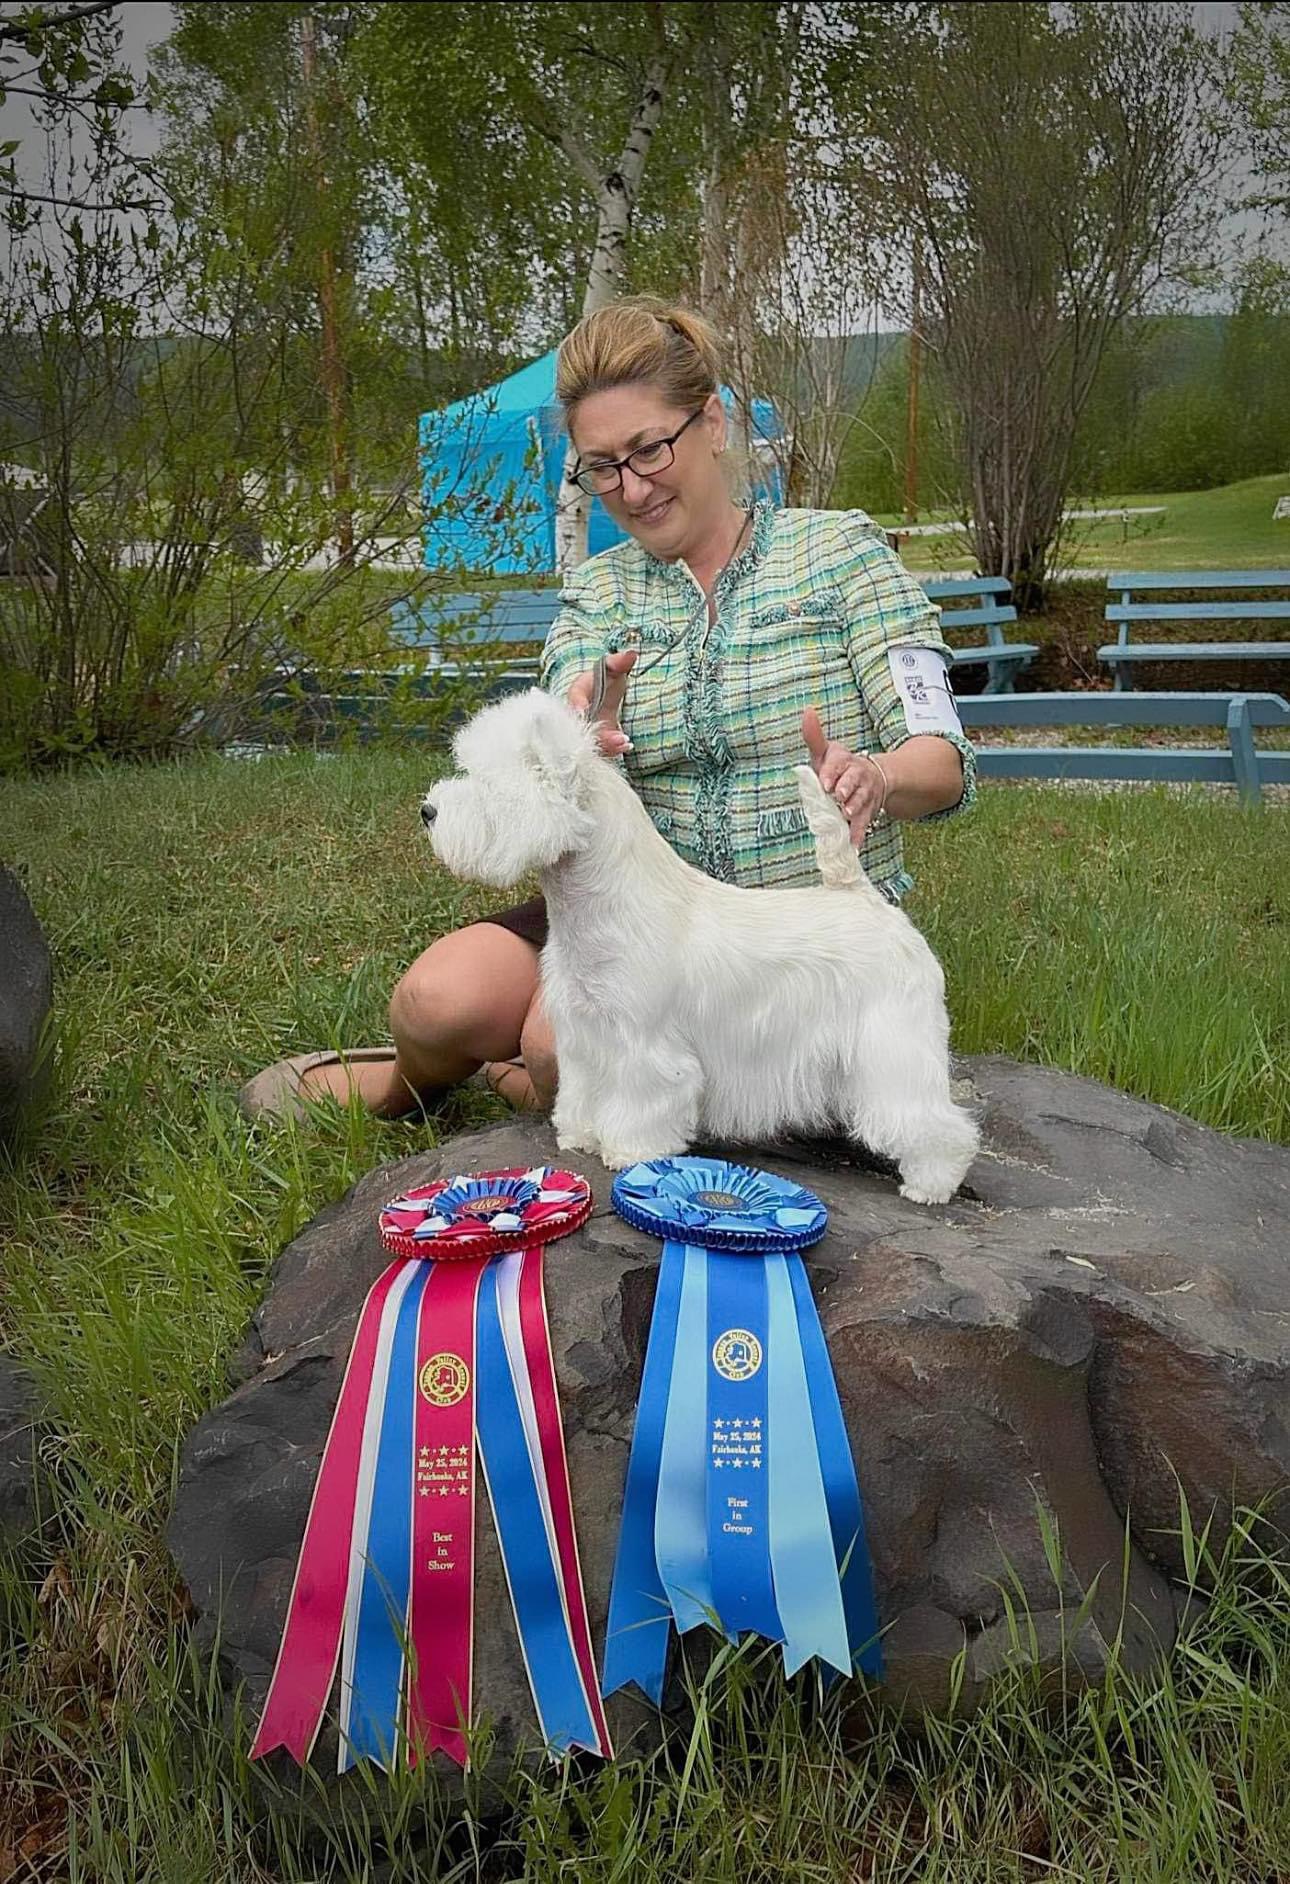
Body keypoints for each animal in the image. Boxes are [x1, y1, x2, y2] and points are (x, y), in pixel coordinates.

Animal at [421, 689, 979, 1204]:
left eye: (489, 784)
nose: (427, 810)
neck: (590, 906)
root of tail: (860, 894)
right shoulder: (584, 1032)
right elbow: (582, 1091)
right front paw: (580, 1135)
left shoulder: (644, 1044)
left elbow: (643, 1098)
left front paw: (630, 1151)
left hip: (893, 1040)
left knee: (932, 1116)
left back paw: (931, 1184)